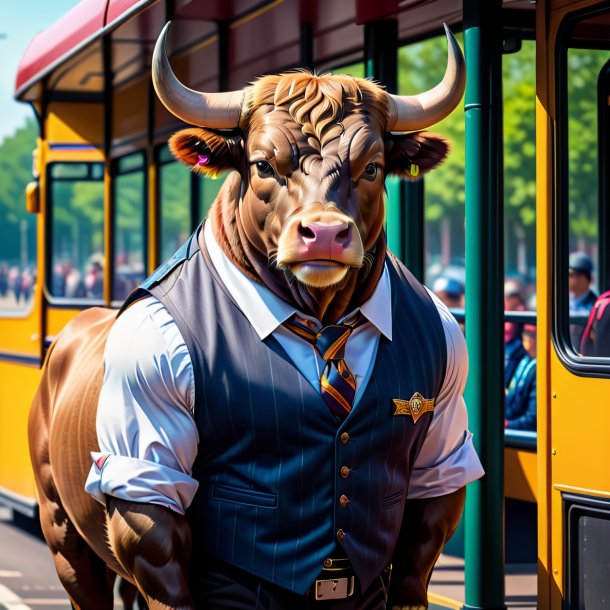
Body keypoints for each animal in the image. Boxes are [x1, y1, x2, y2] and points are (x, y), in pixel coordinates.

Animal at [30, 22, 482, 608]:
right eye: (264, 164)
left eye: (373, 167)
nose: (325, 234)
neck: (321, 322)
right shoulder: (145, 474)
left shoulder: (437, 461)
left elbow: (417, 531)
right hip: (64, 534)